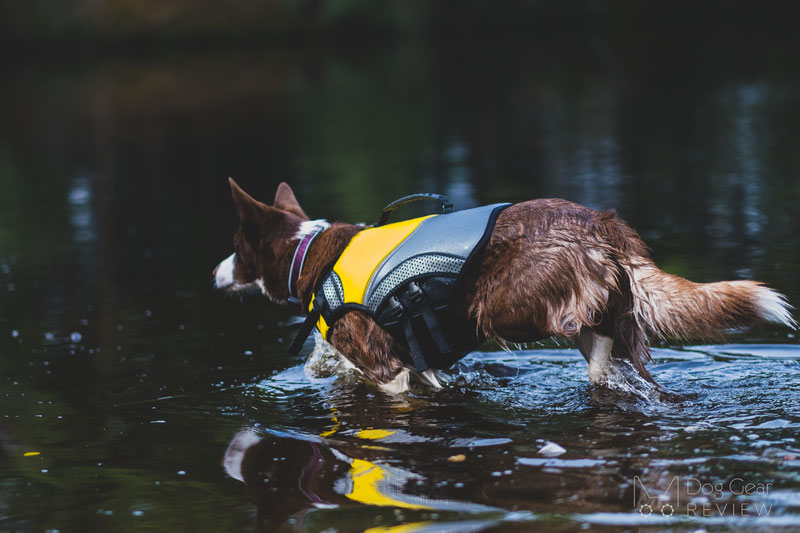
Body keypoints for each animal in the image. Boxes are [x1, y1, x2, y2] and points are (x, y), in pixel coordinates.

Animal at [216, 179, 796, 390]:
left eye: (238, 247)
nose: (216, 272)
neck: (307, 252)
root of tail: (600, 222)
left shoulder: (386, 367)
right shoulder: (417, 365)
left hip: (504, 303)